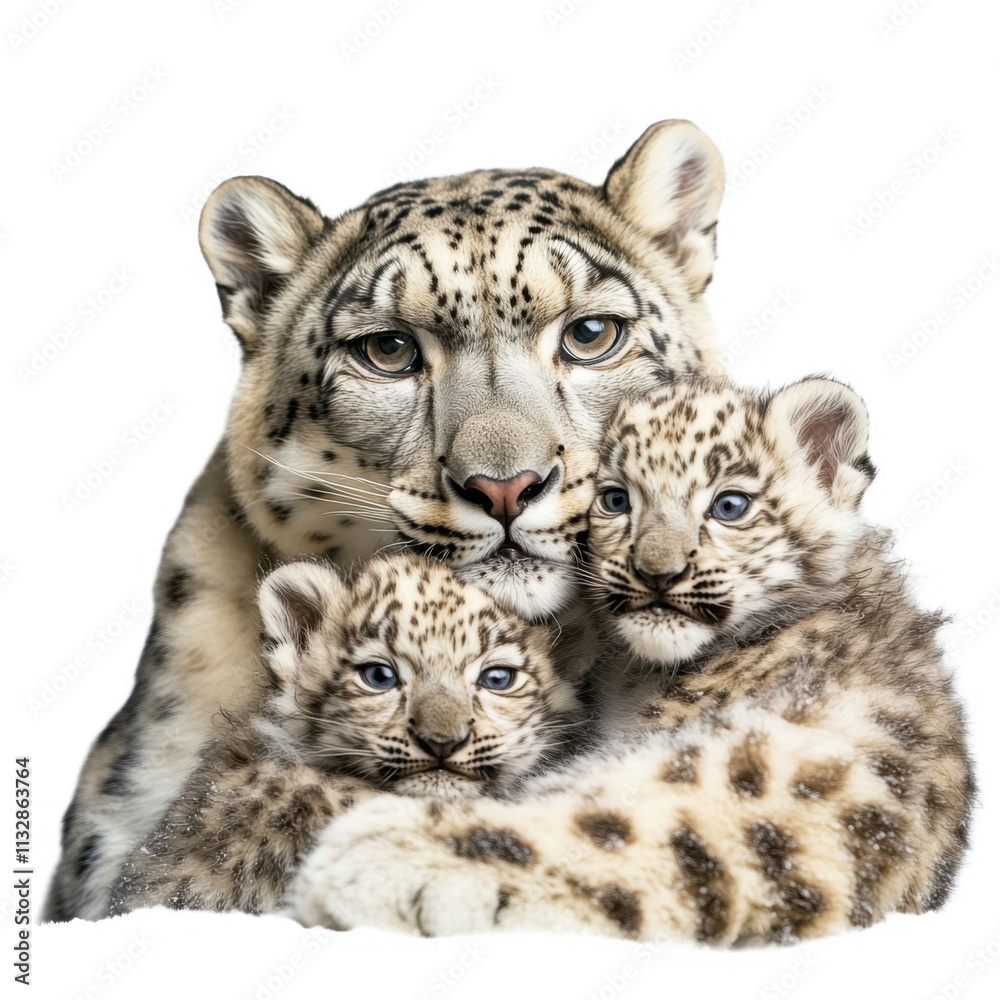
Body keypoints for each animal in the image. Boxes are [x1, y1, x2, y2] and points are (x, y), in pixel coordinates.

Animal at [288, 376, 975, 944]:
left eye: (730, 504)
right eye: (616, 499)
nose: (657, 572)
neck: (639, 679)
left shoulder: (805, 763)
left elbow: (641, 815)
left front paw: (373, 856)